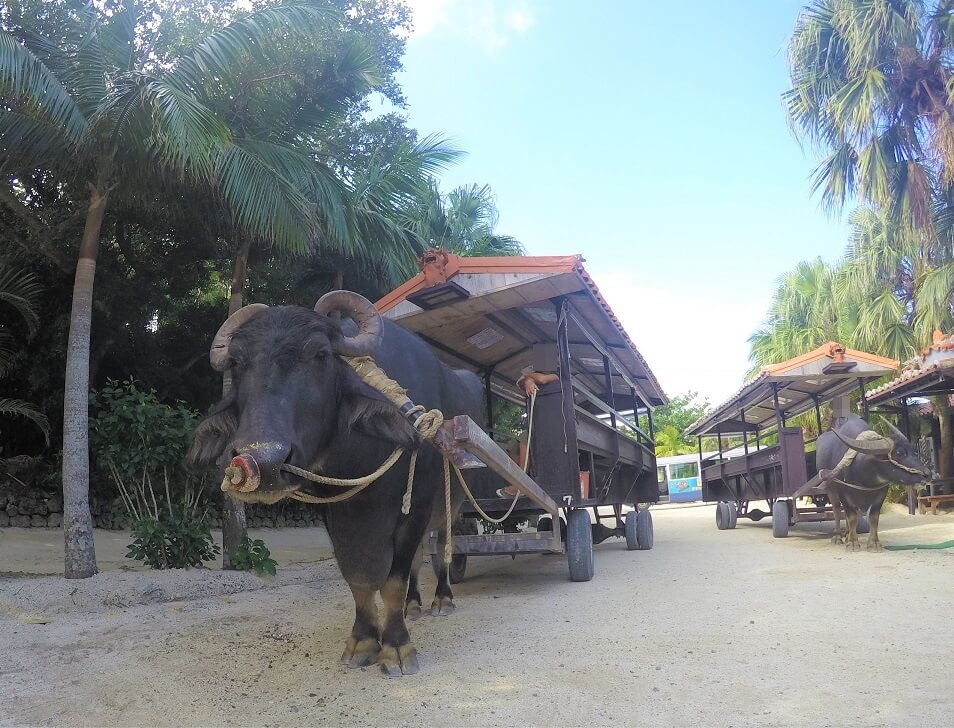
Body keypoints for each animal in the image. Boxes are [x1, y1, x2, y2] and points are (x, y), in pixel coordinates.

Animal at [186, 292, 484, 680]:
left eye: (320, 355)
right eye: (236, 362)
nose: (264, 460)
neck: (361, 460)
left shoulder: (415, 509)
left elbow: (393, 580)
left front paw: (397, 647)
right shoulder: (336, 513)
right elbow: (357, 579)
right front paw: (363, 642)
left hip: (450, 508)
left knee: (443, 551)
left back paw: (442, 599)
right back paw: (414, 606)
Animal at [816, 416, 924, 552]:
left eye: (914, 451)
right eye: (899, 453)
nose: (928, 474)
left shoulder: (882, 492)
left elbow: (873, 517)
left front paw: (873, 543)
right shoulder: (843, 492)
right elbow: (851, 517)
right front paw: (852, 543)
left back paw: (847, 534)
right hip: (830, 488)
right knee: (836, 509)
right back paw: (837, 537)